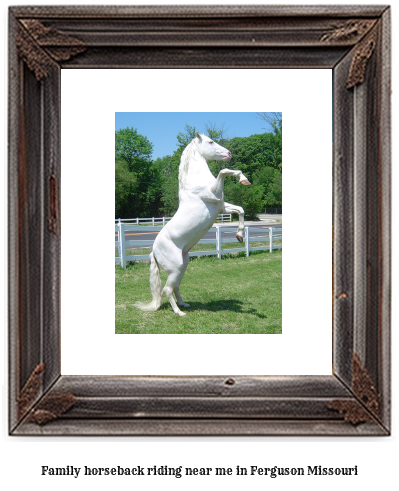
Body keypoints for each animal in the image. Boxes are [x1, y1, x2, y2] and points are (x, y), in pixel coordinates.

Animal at [136, 133, 252, 318]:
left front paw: (240, 235)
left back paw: (184, 304)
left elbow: (240, 210)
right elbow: (223, 171)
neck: (195, 182)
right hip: (175, 268)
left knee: (175, 286)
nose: (228, 153)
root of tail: (153, 250)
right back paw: (179, 312)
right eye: (210, 142)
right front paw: (242, 179)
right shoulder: (215, 195)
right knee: (167, 289)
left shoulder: (221, 206)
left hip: (184, 264)